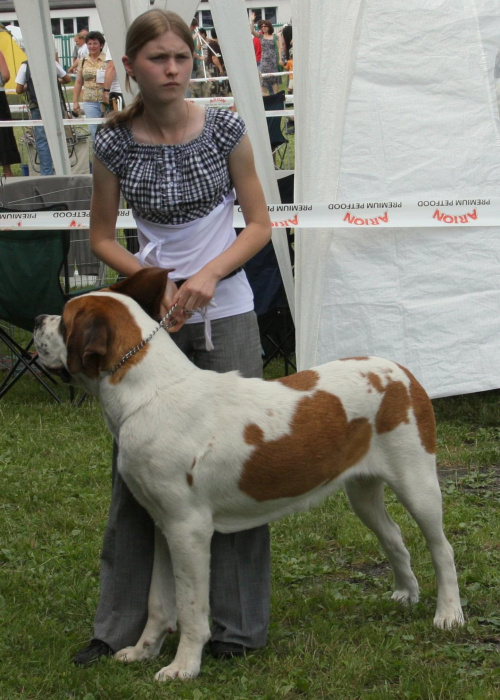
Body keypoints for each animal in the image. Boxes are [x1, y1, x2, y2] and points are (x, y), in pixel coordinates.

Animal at [32, 266, 464, 680]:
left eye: (64, 319)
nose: (37, 319)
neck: (148, 392)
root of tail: (400, 370)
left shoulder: (188, 530)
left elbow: (190, 607)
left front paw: (182, 667)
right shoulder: (163, 524)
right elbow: (158, 601)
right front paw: (142, 651)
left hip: (417, 482)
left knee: (441, 548)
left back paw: (448, 614)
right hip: (363, 493)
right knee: (393, 536)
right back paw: (405, 592)